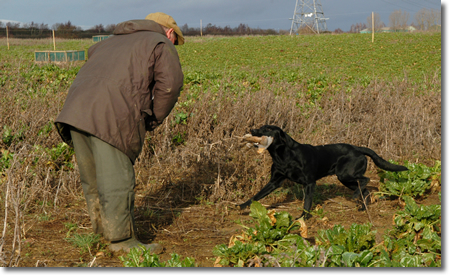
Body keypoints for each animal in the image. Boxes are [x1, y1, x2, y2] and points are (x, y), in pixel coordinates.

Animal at [240, 124, 408, 218]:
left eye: (268, 128)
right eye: (261, 126)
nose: (252, 129)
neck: (283, 155)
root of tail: (358, 148)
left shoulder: (309, 183)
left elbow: (307, 202)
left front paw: (303, 218)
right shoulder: (274, 181)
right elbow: (257, 196)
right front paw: (242, 206)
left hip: (345, 175)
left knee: (365, 180)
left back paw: (356, 197)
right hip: (346, 179)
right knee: (365, 190)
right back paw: (362, 207)